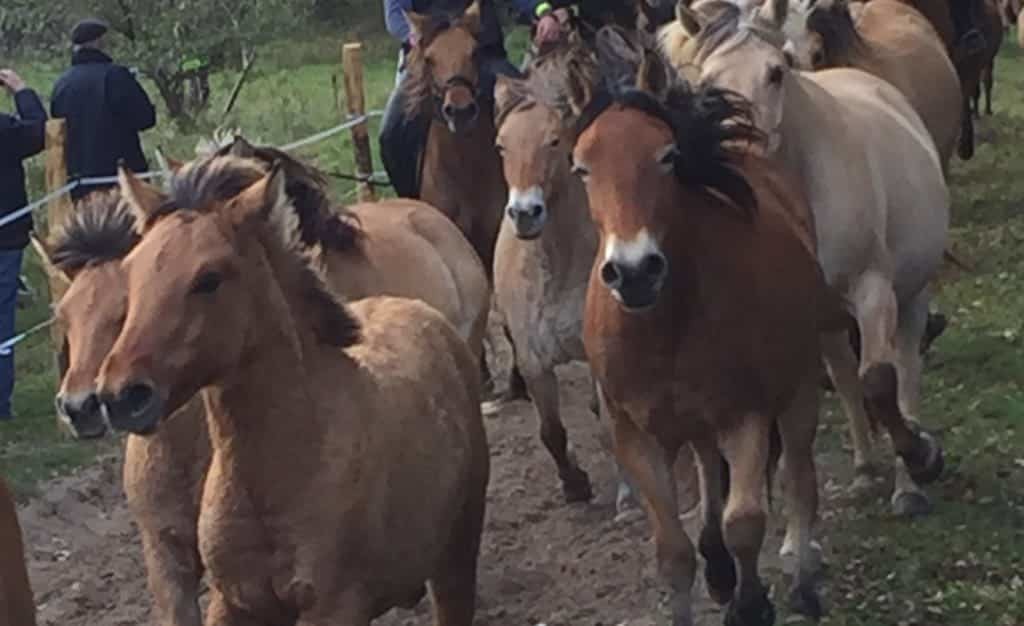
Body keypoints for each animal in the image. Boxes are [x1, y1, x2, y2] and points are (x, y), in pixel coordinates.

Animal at [569, 30, 839, 626]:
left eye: (667, 156)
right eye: (581, 168)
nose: (634, 270)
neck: (662, 327)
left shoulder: (746, 416)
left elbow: (746, 522)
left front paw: (751, 604)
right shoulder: (636, 434)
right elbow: (673, 549)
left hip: (799, 389)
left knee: (799, 475)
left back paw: (802, 579)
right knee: (708, 472)